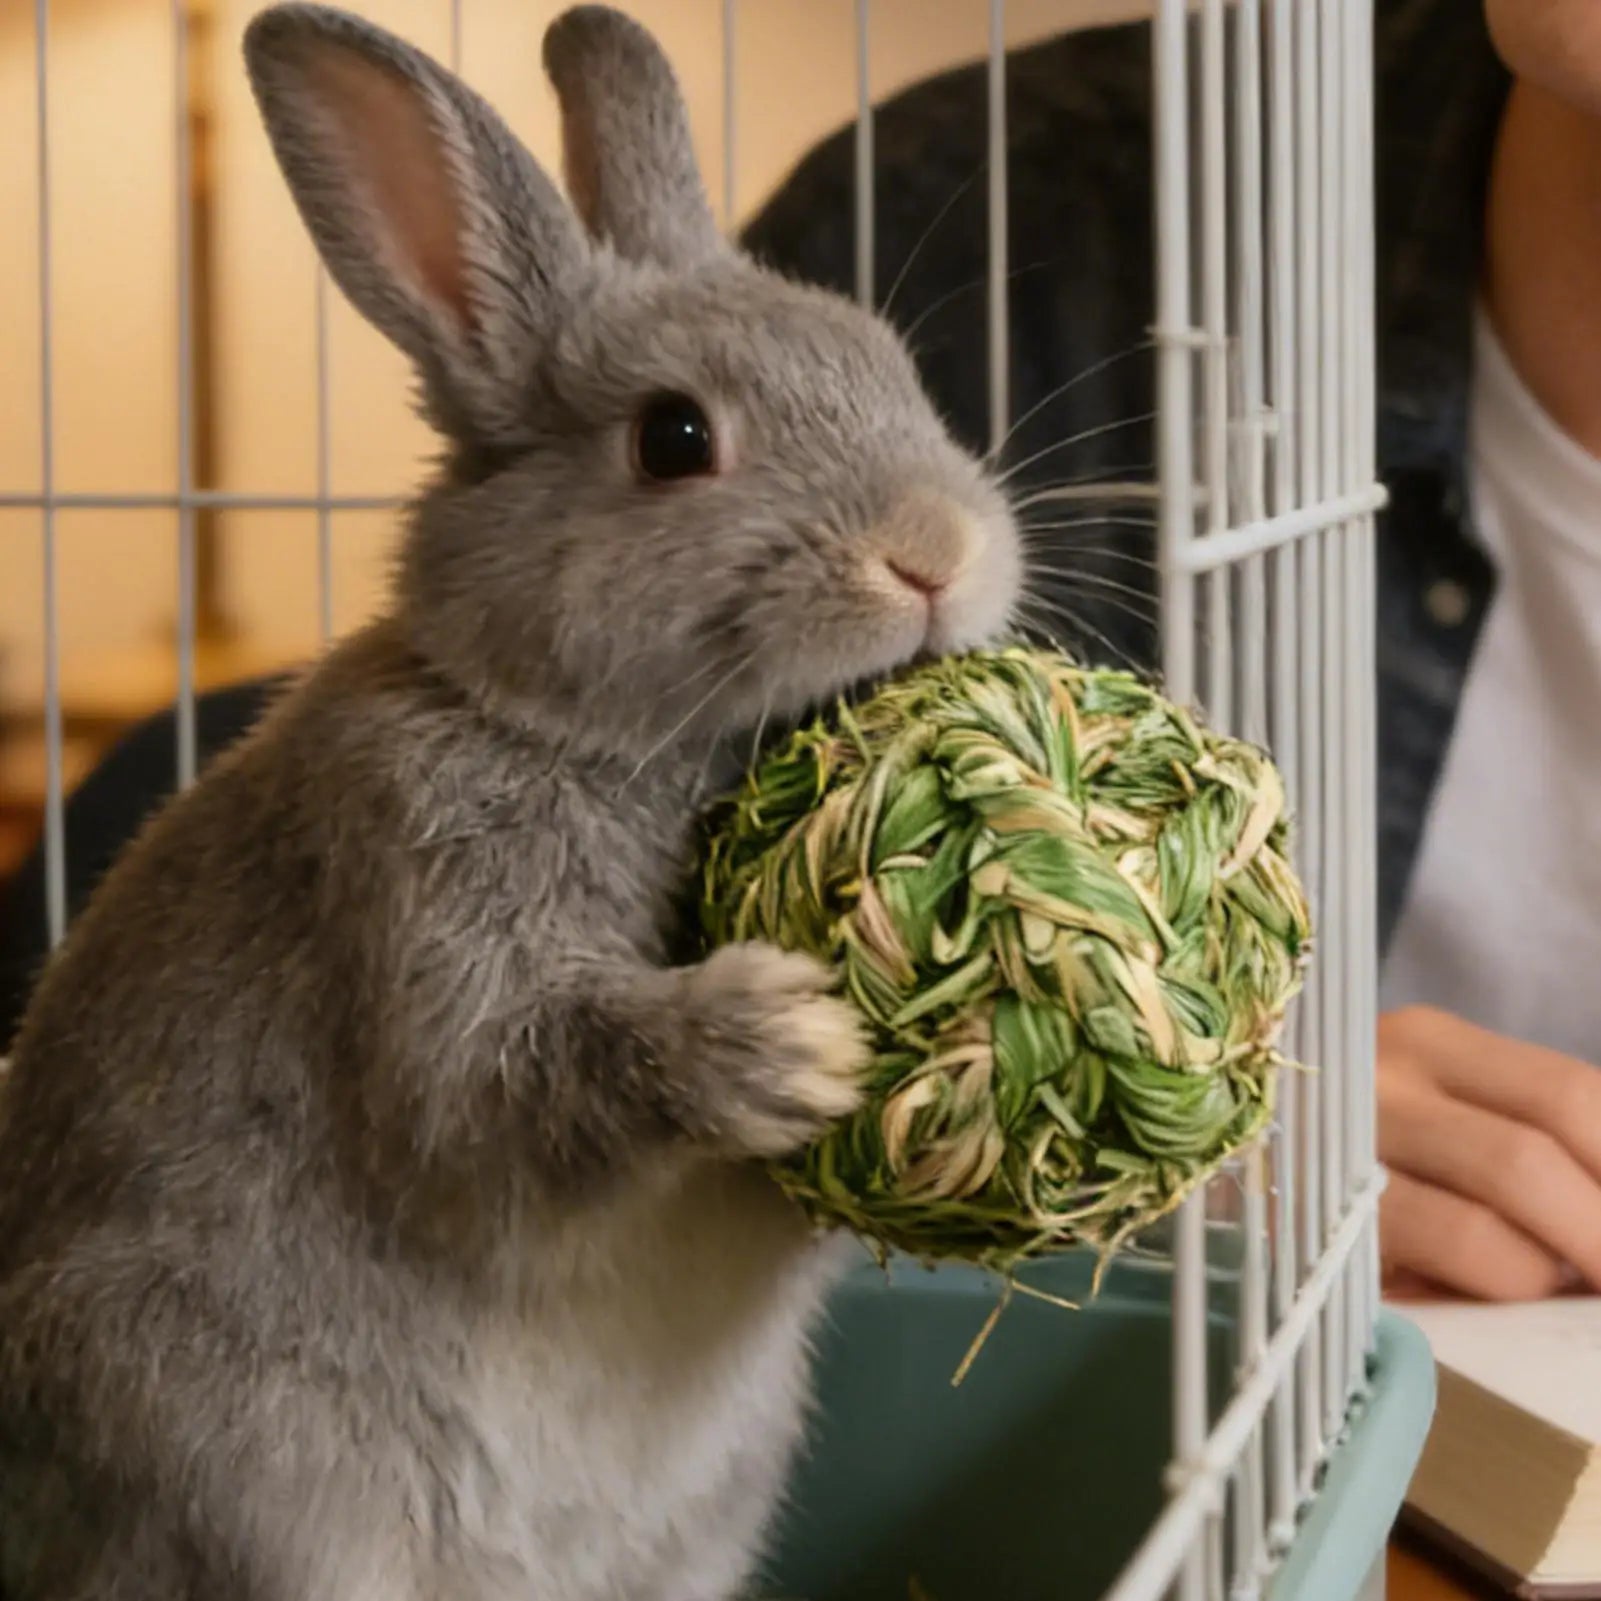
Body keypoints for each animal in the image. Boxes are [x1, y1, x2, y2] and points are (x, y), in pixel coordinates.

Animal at [0, 6, 1022, 1600]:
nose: (934, 555)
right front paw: (781, 1036)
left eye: (886, 361)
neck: (583, 732)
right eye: (673, 439)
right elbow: (508, 1088)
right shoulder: (416, 915)